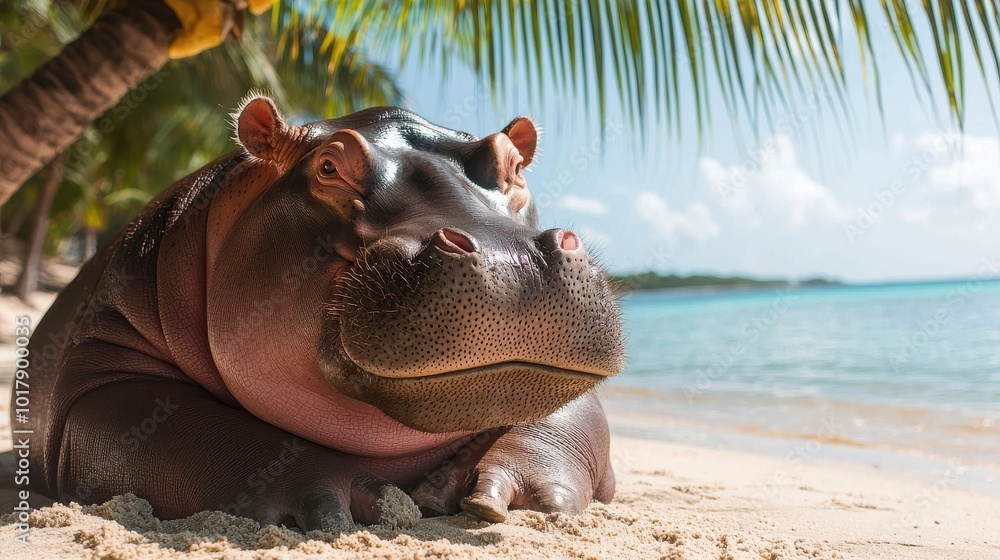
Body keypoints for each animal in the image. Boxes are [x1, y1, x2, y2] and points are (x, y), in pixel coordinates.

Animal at [15, 96, 625, 530]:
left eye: (515, 165)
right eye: (328, 166)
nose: (515, 259)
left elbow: (566, 413)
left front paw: (504, 490)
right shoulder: (101, 373)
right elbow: (209, 435)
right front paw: (365, 498)